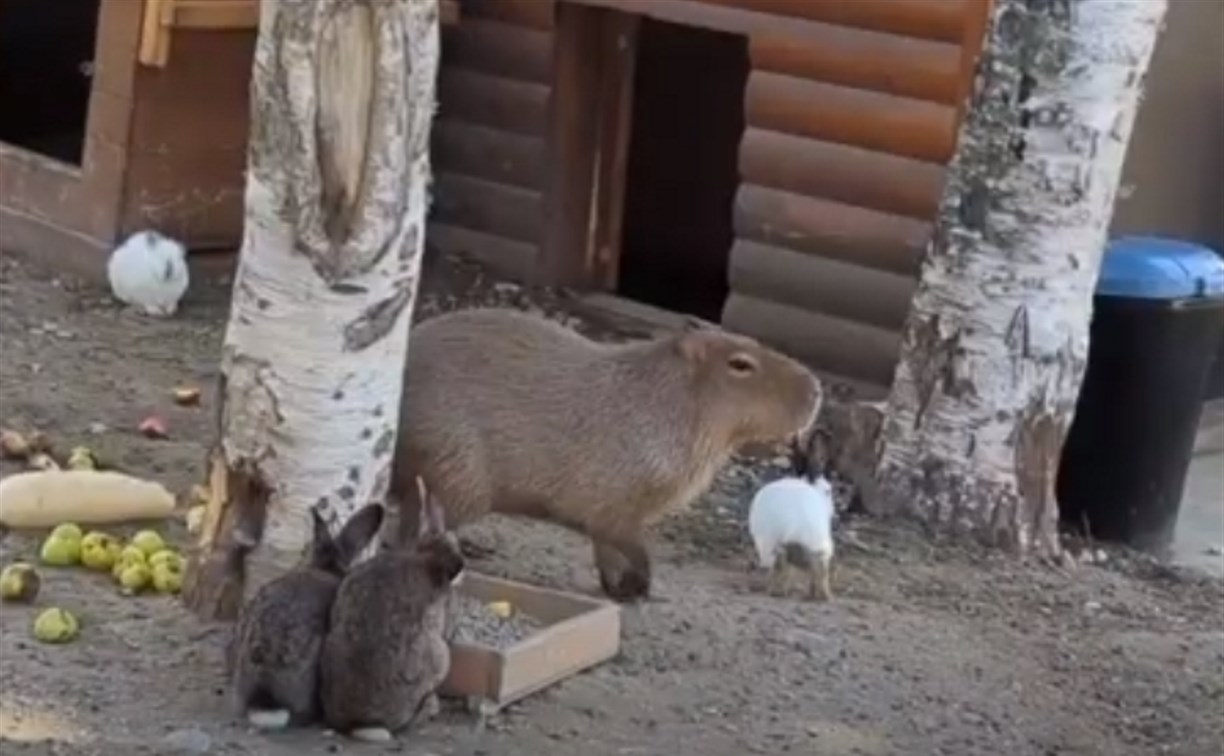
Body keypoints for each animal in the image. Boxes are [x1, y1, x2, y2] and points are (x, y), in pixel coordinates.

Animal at [391, 305, 822, 599]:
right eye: (740, 364)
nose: (817, 390)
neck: (661, 400)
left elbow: (607, 549)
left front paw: (620, 588)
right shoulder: (615, 502)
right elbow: (630, 543)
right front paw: (642, 585)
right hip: (458, 477)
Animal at [749, 430, 837, 599]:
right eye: (828, 491)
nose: (833, 511)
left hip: (770, 545)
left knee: (778, 567)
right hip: (814, 548)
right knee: (816, 571)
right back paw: (822, 596)